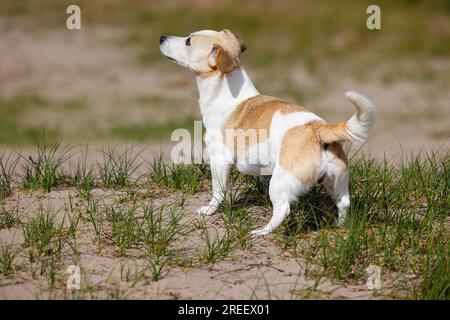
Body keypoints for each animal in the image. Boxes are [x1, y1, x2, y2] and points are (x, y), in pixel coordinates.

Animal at [160, 29, 374, 235]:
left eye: (188, 41)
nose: (162, 37)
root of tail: (319, 129)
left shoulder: (219, 161)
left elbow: (218, 192)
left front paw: (209, 210)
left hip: (281, 183)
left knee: (283, 210)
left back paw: (262, 231)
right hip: (335, 181)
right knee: (344, 202)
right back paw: (338, 225)